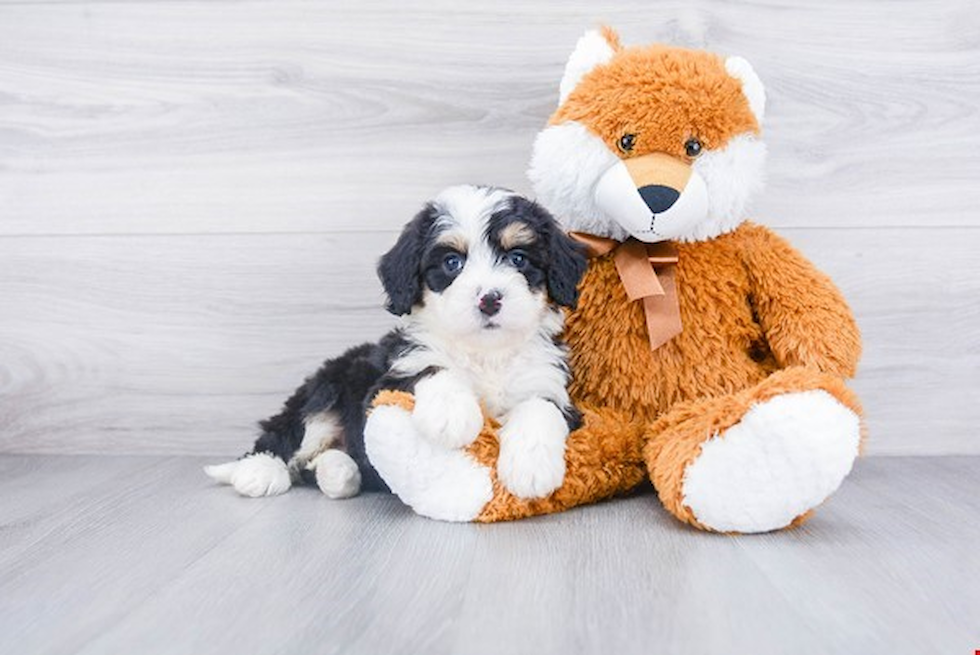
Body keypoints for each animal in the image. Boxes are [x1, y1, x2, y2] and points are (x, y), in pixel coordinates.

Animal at [206, 184, 584, 502]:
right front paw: (451, 415)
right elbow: (430, 369)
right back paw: (258, 471)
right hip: (327, 388)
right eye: (452, 263)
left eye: (518, 258)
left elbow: (540, 407)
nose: (489, 299)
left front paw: (531, 469)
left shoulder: (551, 385)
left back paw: (339, 473)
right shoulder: (386, 382)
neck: (485, 353)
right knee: (284, 433)